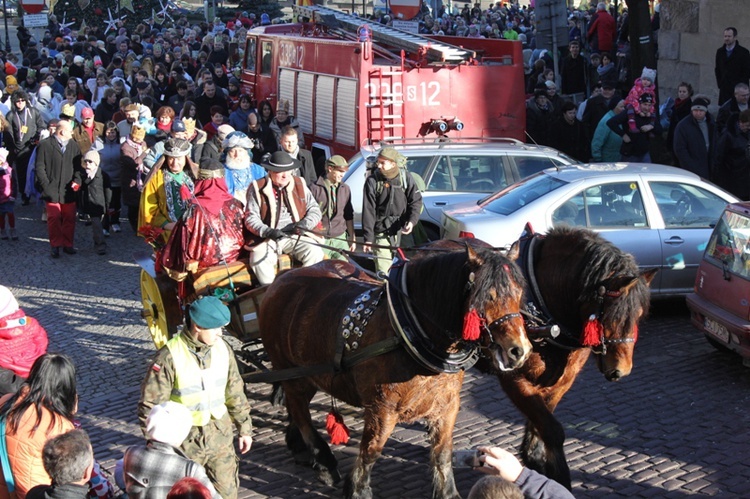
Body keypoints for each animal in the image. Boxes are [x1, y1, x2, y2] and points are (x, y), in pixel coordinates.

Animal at [258, 246, 536, 499]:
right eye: (487, 296)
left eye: (519, 292)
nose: (518, 350)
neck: (408, 331)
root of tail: (281, 279)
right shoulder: (382, 409)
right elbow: (371, 451)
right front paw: (358, 491)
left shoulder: (447, 405)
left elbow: (442, 453)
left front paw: (447, 492)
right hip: (291, 372)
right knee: (299, 410)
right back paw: (323, 461)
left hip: (309, 374)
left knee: (297, 406)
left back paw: (301, 448)